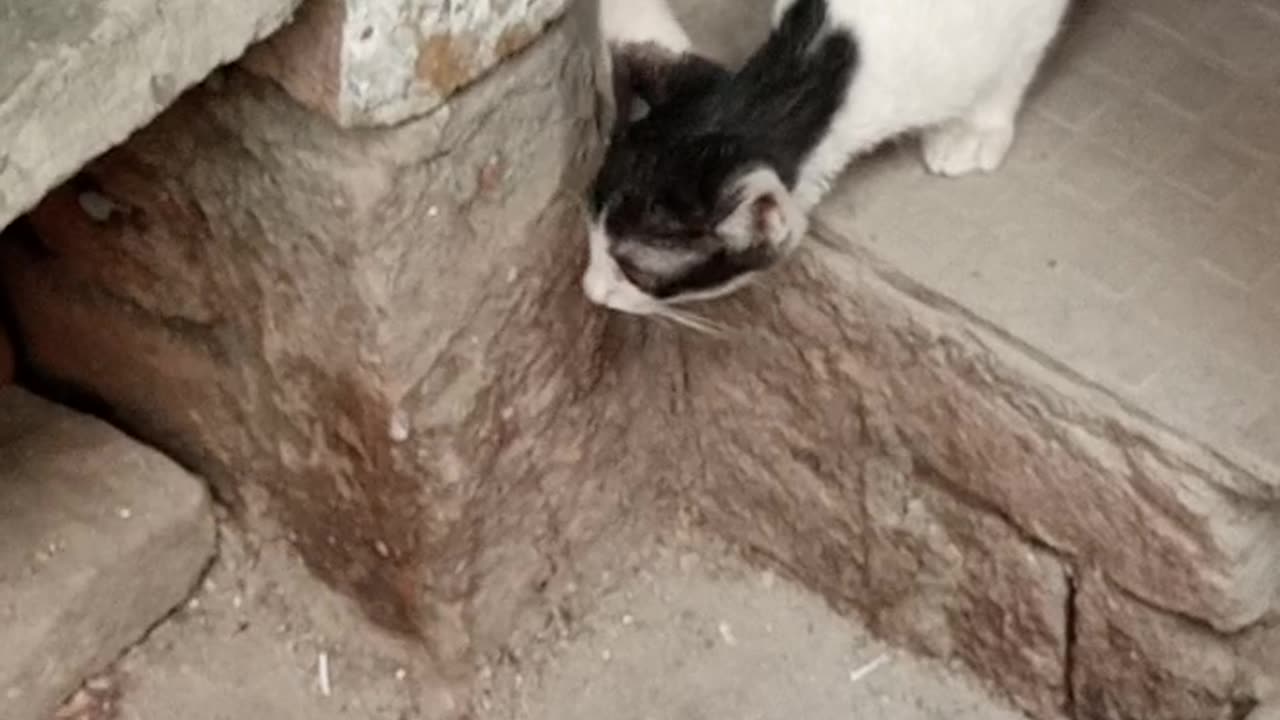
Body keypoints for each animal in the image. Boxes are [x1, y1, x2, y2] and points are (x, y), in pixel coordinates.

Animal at [586, 0, 1064, 316]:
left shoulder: (1028, 17)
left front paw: (978, 125)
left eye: (635, 272)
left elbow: (1018, 61)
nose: (590, 290)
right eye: (589, 238)